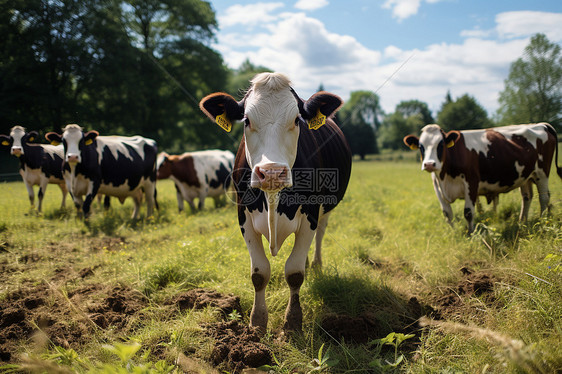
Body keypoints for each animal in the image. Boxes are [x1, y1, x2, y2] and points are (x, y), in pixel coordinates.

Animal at [199, 71, 350, 332]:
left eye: (297, 120)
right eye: (246, 120)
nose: (271, 172)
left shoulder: (310, 214)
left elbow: (294, 272)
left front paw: (292, 322)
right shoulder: (244, 217)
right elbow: (259, 273)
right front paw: (257, 322)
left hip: (327, 208)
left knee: (320, 233)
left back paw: (316, 264)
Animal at [402, 124, 560, 232]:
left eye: (440, 144)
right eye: (421, 146)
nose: (429, 164)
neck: (445, 176)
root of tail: (542, 125)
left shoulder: (471, 182)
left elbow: (468, 212)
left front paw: (471, 234)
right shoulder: (437, 185)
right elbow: (447, 213)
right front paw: (453, 233)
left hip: (542, 173)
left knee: (544, 197)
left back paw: (543, 222)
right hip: (526, 176)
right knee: (527, 197)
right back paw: (522, 222)